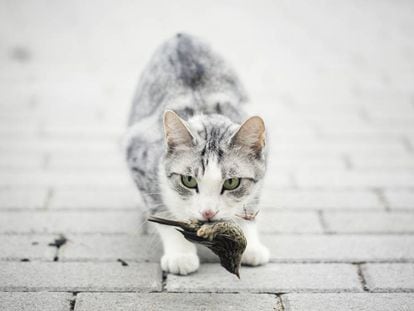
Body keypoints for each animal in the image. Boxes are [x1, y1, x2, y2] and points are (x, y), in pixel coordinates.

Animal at [124, 33, 270, 276]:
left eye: (232, 182)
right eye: (188, 180)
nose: (208, 212)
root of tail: (181, 35)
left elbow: (250, 203)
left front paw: (251, 245)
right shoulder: (138, 154)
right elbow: (162, 212)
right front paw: (180, 255)